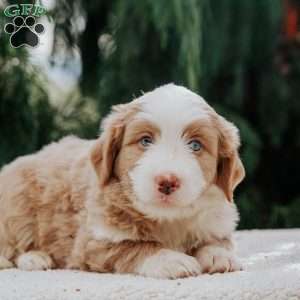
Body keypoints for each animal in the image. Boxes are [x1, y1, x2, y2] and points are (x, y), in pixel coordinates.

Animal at [0, 83, 244, 278]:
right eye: (145, 141)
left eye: (195, 145)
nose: (167, 181)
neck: (167, 219)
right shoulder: (93, 240)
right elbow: (133, 246)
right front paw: (170, 259)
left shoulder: (215, 221)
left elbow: (215, 240)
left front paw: (219, 254)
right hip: (17, 202)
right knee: (11, 244)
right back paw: (35, 258)